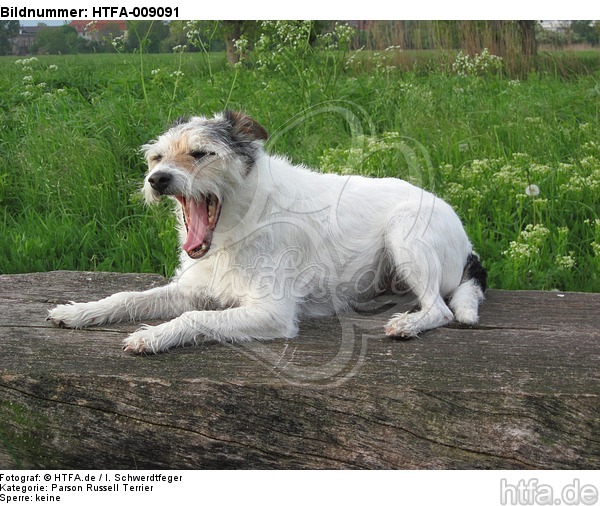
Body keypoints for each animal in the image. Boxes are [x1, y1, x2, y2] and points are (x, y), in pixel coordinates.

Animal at [48, 112, 488, 354]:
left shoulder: (270, 313)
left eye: (201, 153)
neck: (235, 229)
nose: (157, 180)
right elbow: (127, 297)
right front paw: (78, 311)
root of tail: (468, 244)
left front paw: (152, 337)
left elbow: (193, 318)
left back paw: (407, 324)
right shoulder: (193, 288)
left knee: (441, 309)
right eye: (156, 157)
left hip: (405, 235)